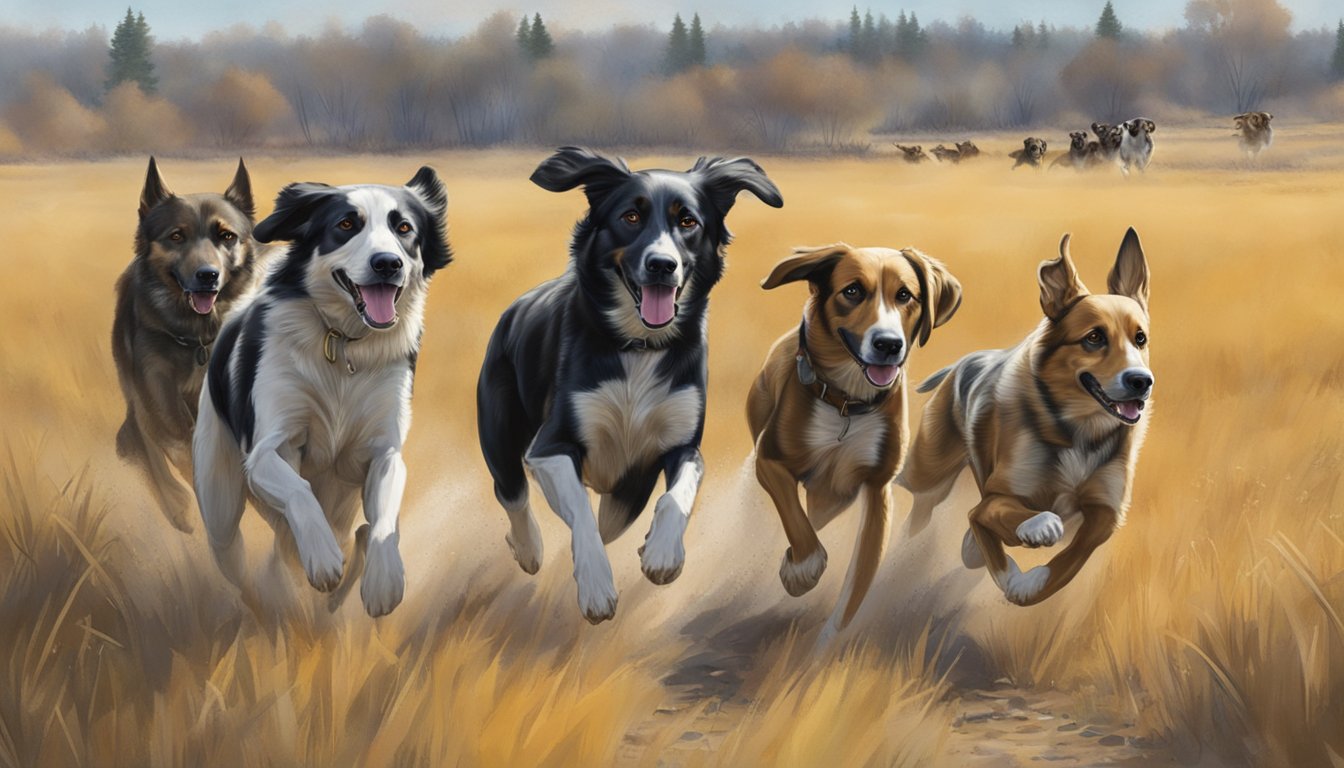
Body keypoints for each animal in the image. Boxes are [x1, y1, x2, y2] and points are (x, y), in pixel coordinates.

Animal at [113, 159, 259, 532]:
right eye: (176, 236)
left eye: (226, 236)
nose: (207, 275)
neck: (196, 339)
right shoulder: (158, 401)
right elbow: (180, 449)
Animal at [752, 243, 962, 640]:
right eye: (852, 291)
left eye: (905, 295)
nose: (888, 344)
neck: (847, 403)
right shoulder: (768, 461)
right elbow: (796, 521)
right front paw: (801, 570)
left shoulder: (877, 491)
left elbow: (854, 592)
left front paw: (825, 648)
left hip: (835, 499)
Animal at [897, 228, 1150, 607]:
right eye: (1094, 337)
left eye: (1140, 338)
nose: (1141, 381)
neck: (1079, 431)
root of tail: (962, 363)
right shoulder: (989, 503)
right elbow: (1005, 527)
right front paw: (1031, 541)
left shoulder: (1106, 512)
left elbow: (1069, 562)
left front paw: (1029, 584)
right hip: (928, 478)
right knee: (916, 518)